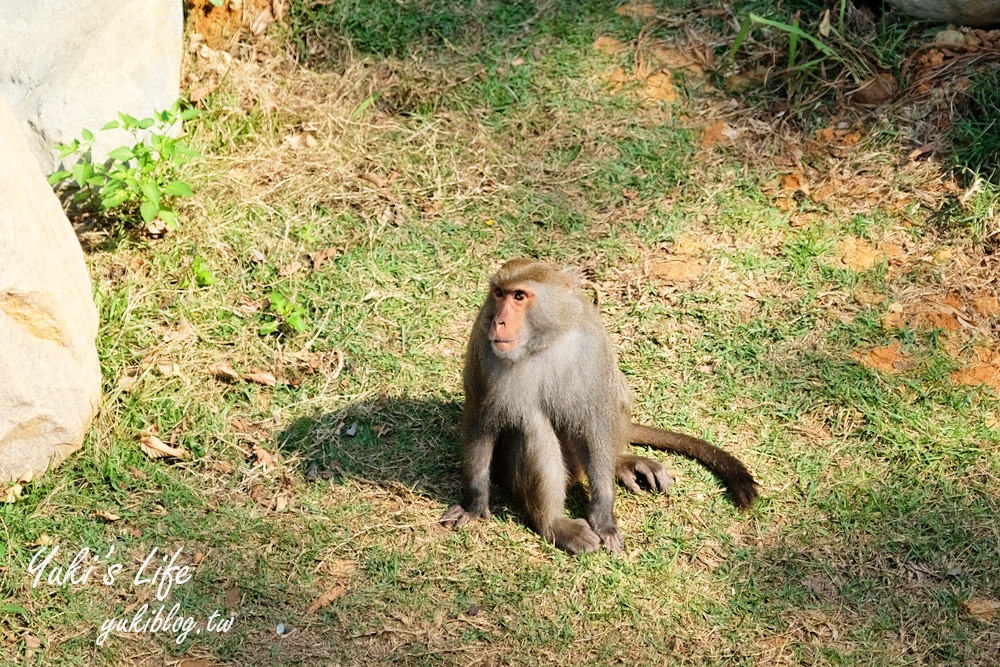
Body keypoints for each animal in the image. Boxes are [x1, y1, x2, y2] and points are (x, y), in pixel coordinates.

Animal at [440, 258, 756, 552]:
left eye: (518, 296)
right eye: (498, 293)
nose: (499, 322)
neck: (544, 342)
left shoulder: (593, 345)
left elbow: (595, 424)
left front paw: (603, 515)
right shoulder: (482, 346)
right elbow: (481, 421)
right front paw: (473, 504)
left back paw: (621, 463)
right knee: (532, 424)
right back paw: (553, 523)